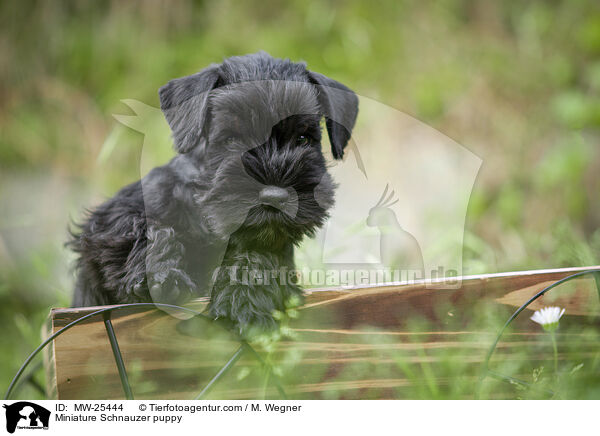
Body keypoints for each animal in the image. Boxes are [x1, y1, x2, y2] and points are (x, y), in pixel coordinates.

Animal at [71, 52, 360, 334]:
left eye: (302, 139)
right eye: (231, 139)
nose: (274, 197)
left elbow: (257, 252)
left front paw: (244, 297)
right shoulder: (110, 217)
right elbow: (143, 226)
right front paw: (161, 274)